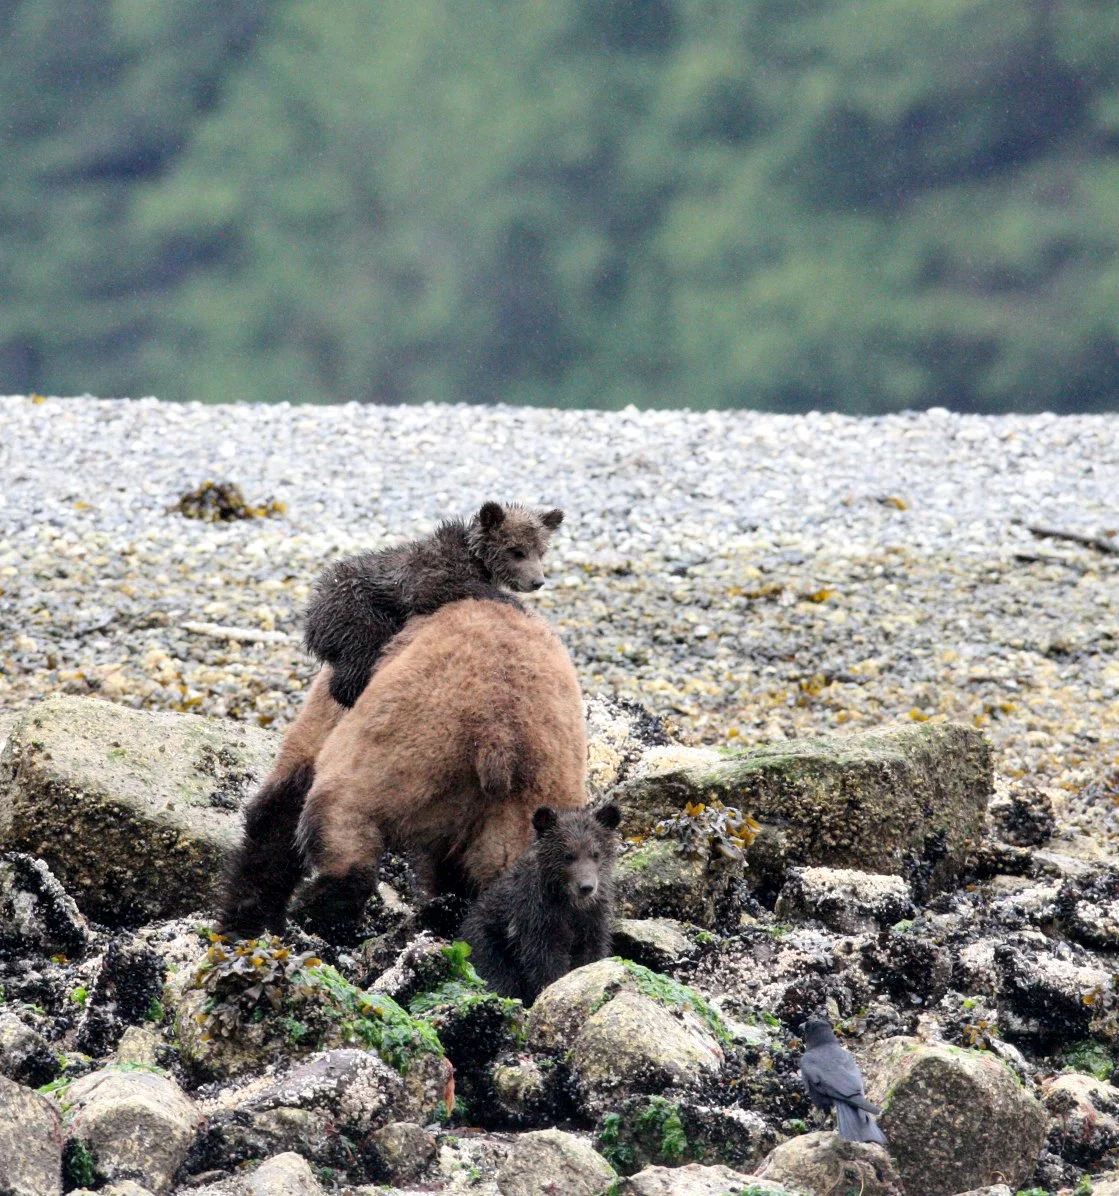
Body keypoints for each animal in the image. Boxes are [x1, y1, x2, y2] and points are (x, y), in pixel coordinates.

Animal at [218, 597, 587, 943]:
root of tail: (499, 737)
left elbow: (283, 805)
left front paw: (248, 912)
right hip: (530, 803)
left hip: (406, 748)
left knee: (344, 816)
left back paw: (319, 914)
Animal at [303, 501, 564, 708]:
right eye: (516, 551)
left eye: (540, 551)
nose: (537, 581)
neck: (476, 557)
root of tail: (310, 620)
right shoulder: (427, 576)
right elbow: (442, 588)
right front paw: (513, 601)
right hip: (355, 613)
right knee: (358, 657)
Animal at [460, 803, 621, 1005]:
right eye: (568, 855)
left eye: (596, 854)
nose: (586, 887)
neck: (570, 904)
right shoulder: (537, 917)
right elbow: (544, 958)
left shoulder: (592, 918)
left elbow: (591, 951)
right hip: (488, 942)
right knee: (495, 973)